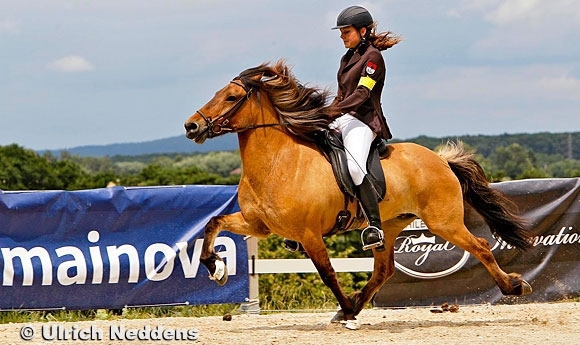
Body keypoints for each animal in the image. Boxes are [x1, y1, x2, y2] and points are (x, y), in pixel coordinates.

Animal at [185, 59, 532, 326]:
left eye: (231, 97)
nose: (191, 127)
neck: (278, 162)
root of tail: (441, 160)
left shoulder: (309, 233)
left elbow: (327, 273)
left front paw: (346, 307)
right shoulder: (258, 225)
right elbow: (213, 224)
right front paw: (215, 267)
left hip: (444, 222)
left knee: (481, 246)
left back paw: (514, 286)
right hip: (390, 225)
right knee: (384, 269)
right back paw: (352, 306)